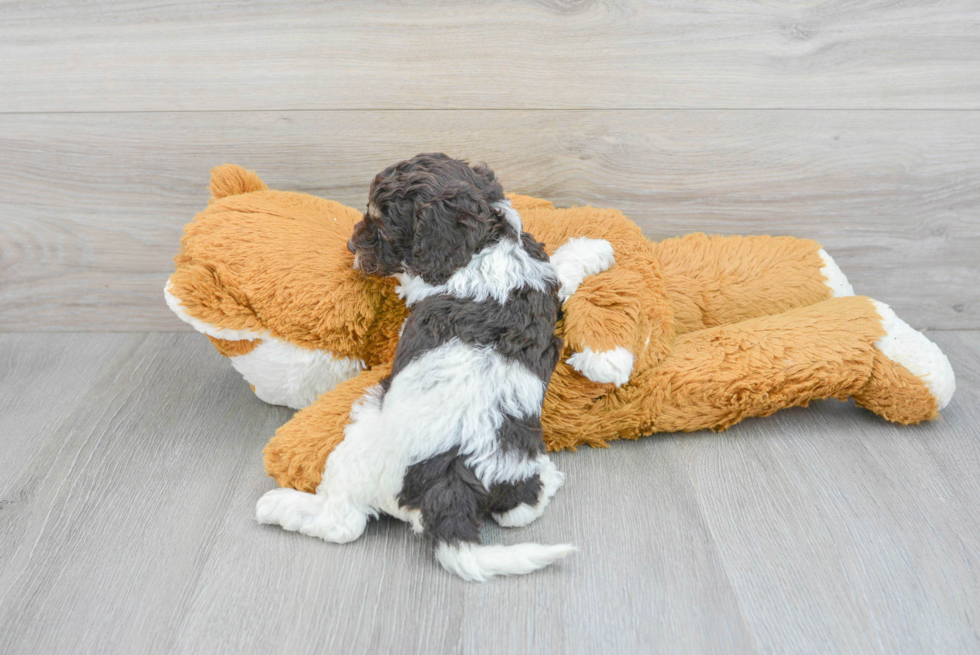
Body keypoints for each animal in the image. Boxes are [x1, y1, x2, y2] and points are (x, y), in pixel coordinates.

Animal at [256, 155, 576, 584]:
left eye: (382, 224)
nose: (351, 247)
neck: (488, 245)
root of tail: (452, 485)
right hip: (513, 473)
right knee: (519, 513)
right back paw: (549, 480)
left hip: (358, 439)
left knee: (342, 523)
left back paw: (279, 505)